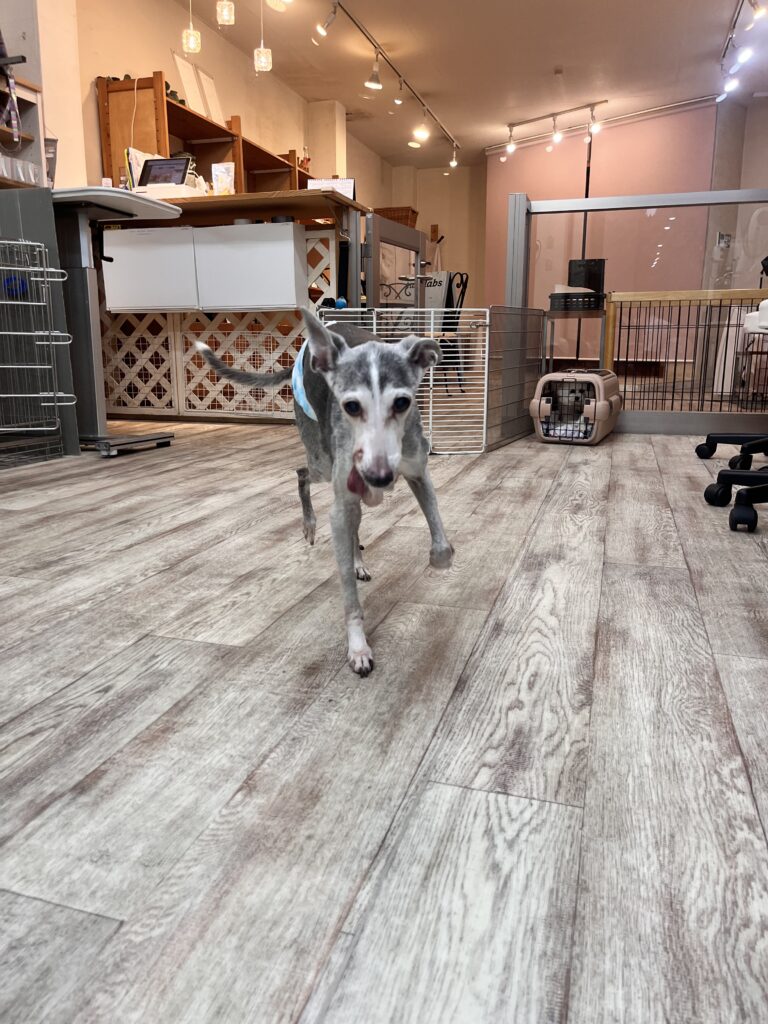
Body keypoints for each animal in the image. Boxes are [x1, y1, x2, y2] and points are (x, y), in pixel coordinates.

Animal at [196, 308, 454, 676]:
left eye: (402, 402)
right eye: (351, 407)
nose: (379, 478)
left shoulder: (417, 472)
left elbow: (443, 548)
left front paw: (435, 559)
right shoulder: (341, 499)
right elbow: (348, 592)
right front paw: (358, 647)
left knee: (355, 522)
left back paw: (359, 559)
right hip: (320, 460)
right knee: (303, 474)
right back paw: (309, 525)